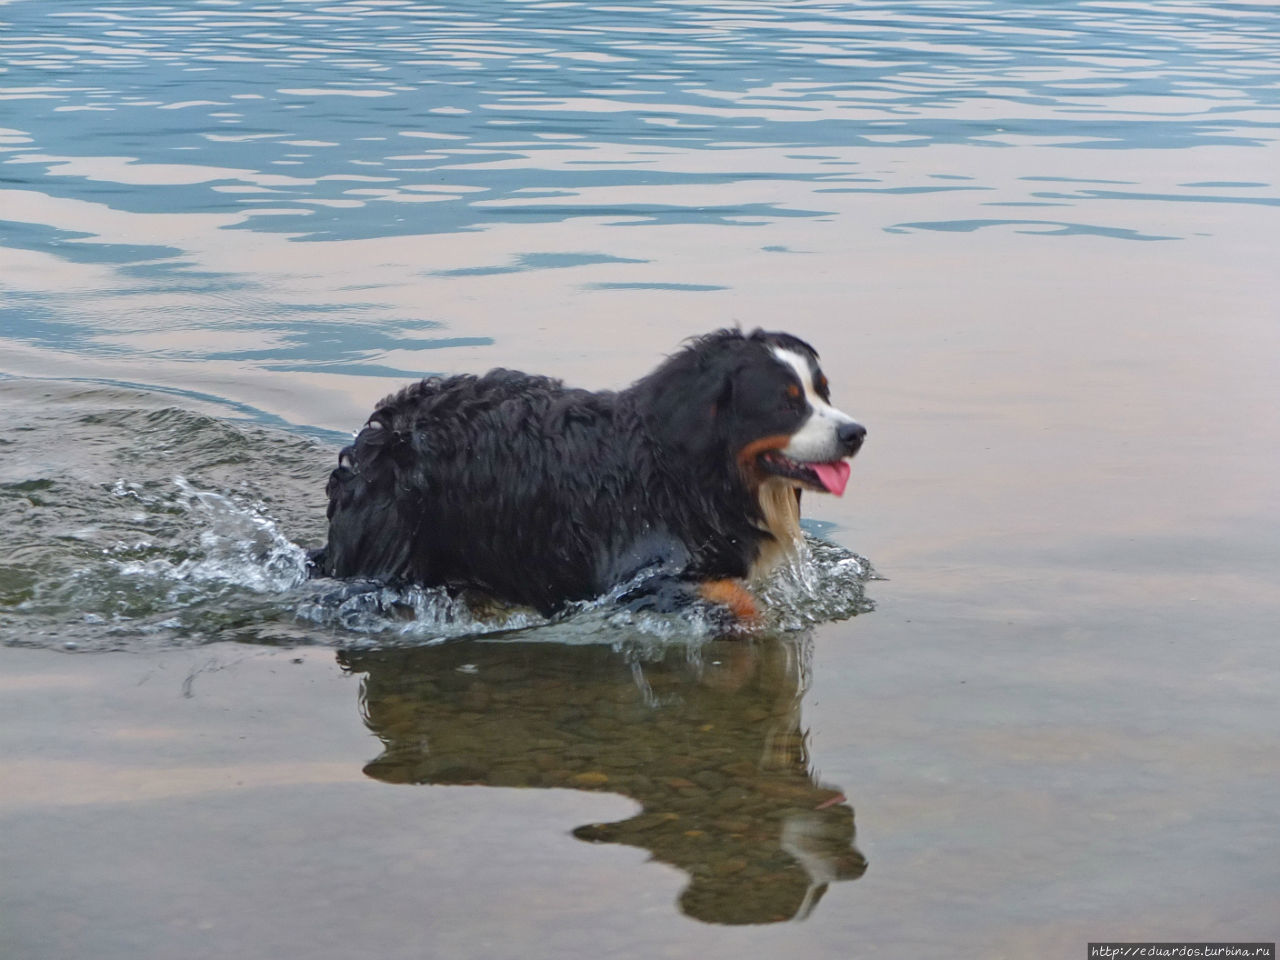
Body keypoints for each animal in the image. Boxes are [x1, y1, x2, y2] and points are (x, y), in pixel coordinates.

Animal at [313, 327, 865, 619]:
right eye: (785, 404)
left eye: (822, 392)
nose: (855, 433)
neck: (687, 473)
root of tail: (376, 434)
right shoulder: (636, 575)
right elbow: (737, 599)